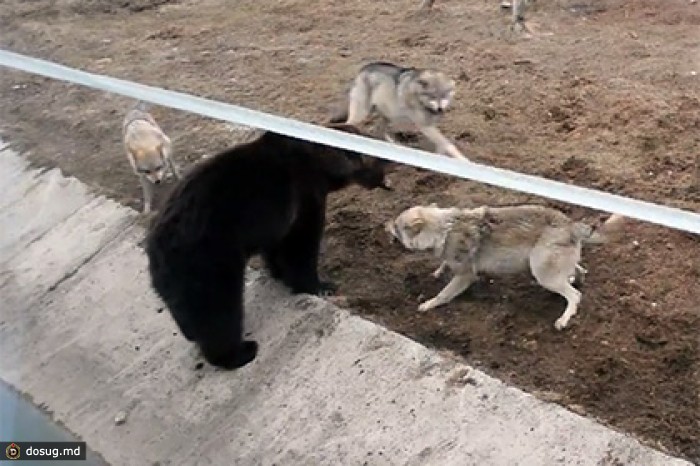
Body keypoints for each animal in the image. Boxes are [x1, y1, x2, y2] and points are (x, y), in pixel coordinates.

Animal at [144, 122, 394, 370]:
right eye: (376, 157)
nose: (389, 164)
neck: (322, 168)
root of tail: (155, 251)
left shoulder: (276, 219)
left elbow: (276, 248)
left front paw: (280, 274)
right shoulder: (304, 195)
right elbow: (301, 246)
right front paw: (320, 285)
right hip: (209, 258)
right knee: (219, 310)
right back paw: (239, 352)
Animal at [332, 62, 468, 160]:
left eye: (444, 96)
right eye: (433, 96)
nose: (440, 109)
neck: (419, 96)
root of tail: (363, 69)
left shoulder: (431, 126)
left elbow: (442, 146)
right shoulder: (425, 126)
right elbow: (448, 145)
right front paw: (463, 161)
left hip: (387, 115)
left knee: (379, 130)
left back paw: (393, 145)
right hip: (361, 114)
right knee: (348, 126)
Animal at [386, 204, 628, 332]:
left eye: (396, 226)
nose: (384, 223)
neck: (443, 230)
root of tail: (571, 224)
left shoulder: (465, 276)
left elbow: (443, 294)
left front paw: (428, 305)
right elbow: (444, 264)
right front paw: (437, 271)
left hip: (542, 274)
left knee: (575, 296)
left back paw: (564, 319)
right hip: (550, 268)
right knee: (579, 272)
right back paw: (577, 279)